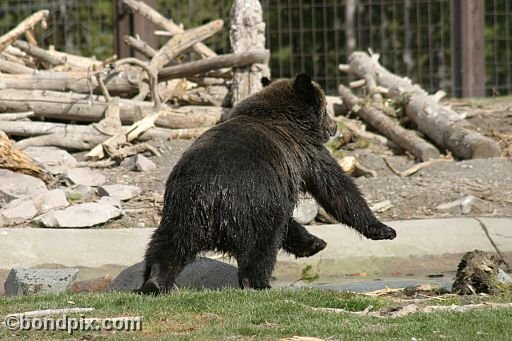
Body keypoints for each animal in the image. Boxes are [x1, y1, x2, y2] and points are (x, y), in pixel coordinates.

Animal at [142, 74, 398, 292]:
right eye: (326, 109)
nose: (334, 127)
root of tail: (211, 196)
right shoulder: (306, 154)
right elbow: (336, 188)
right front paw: (383, 229)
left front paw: (315, 242)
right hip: (250, 204)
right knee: (262, 246)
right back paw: (259, 283)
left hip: (182, 210)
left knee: (166, 246)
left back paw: (155, 281)